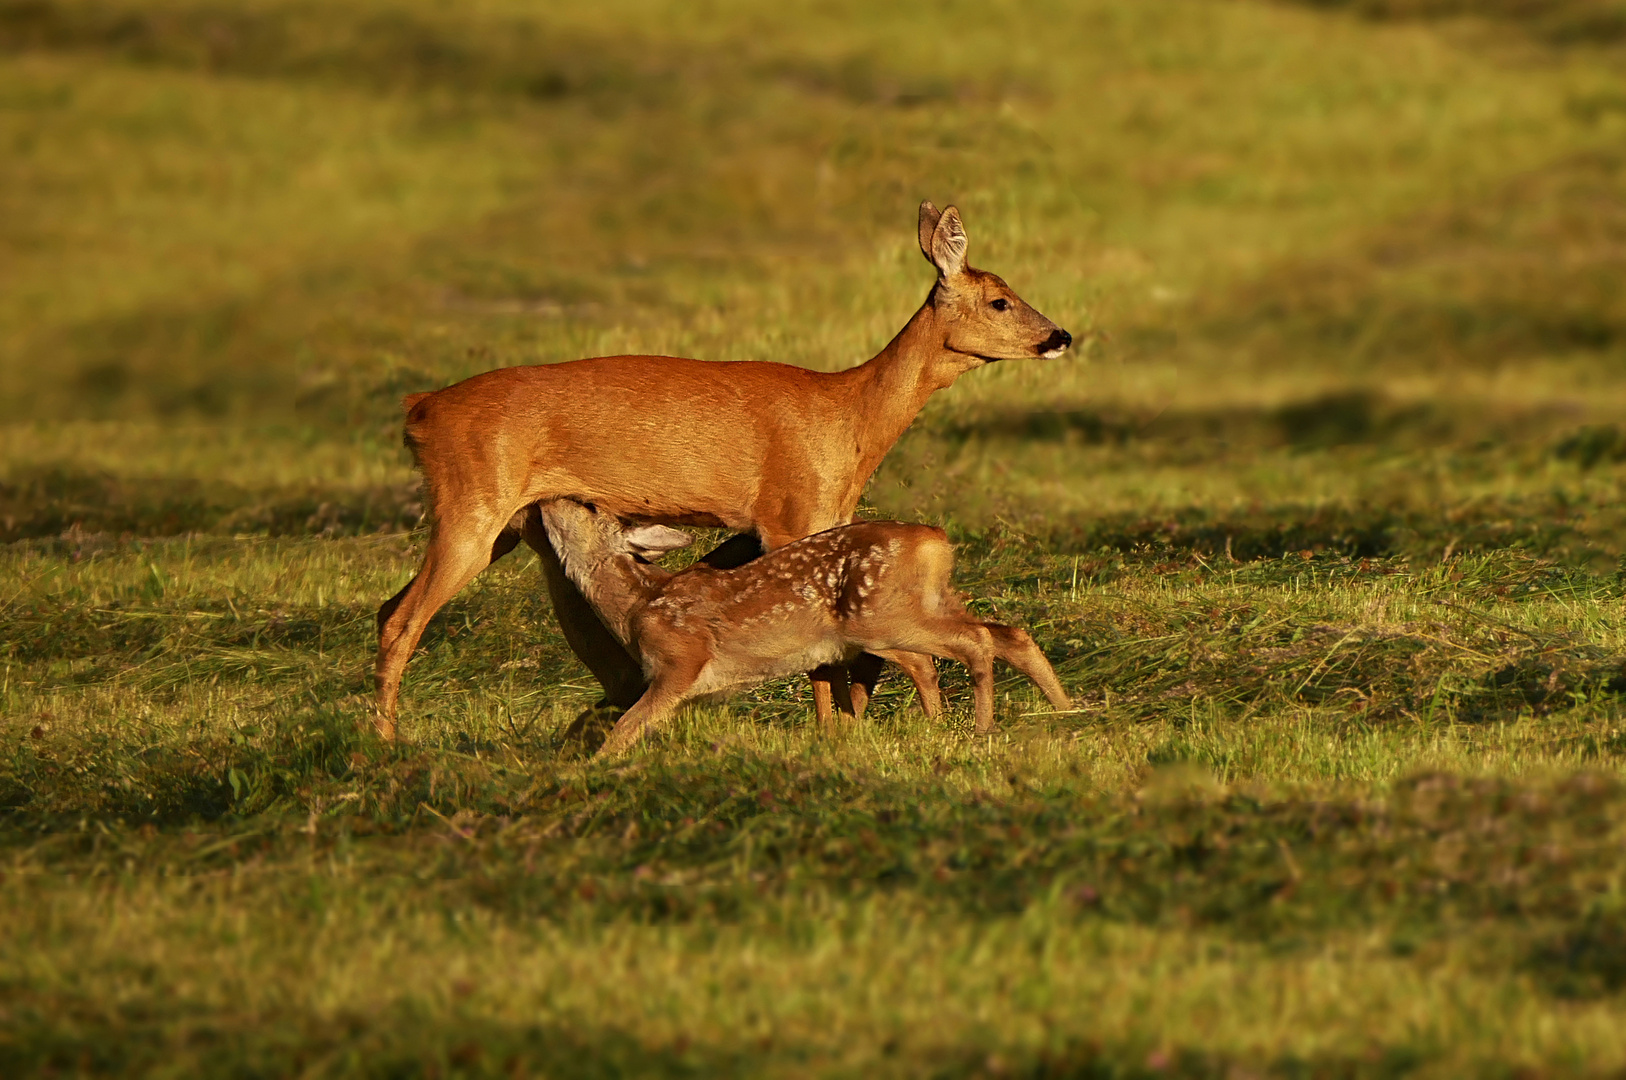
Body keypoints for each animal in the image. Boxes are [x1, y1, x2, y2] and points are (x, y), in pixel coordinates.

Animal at [536, 494, 1066, 751]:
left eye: (587, 506)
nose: (547, 500)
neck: (636, 605)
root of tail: (936, 540)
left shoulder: (681, 658)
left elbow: (625, 727)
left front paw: (590, 769)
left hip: (880, 618)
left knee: (969, 643)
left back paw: (981, 728)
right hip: (930, 602)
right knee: (1007, 634)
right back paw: (1065, 712)